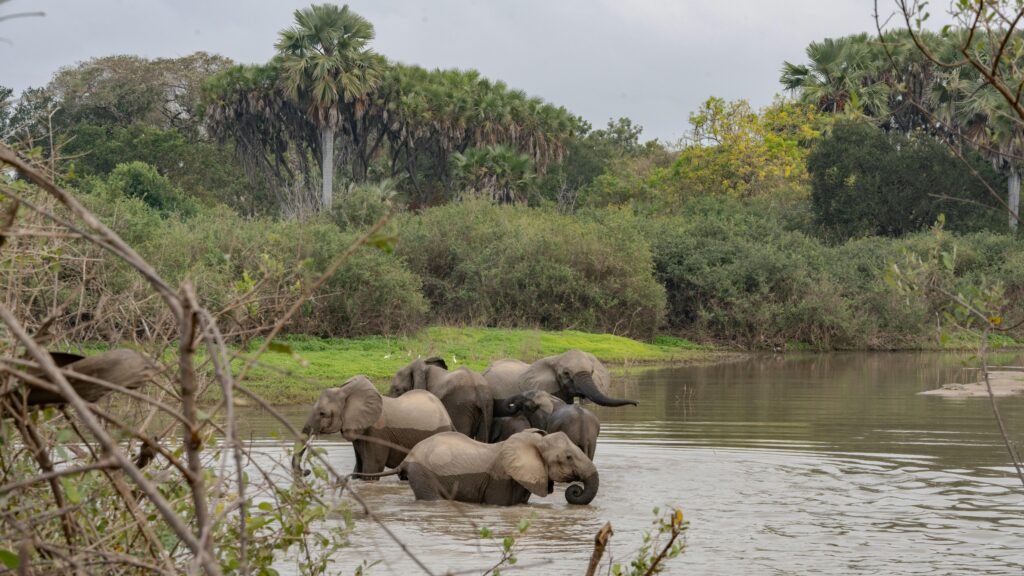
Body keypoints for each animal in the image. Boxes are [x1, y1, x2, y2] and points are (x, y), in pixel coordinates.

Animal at [295, 375, 452, 478]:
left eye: (322, 413)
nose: (306, 471)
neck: (347, 392)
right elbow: (359, 466)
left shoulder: (377, 432)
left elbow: (371, 468)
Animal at [384, 429, 599, 505]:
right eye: (568, 457)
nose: (575, 491)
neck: (536, 441)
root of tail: (406, 459)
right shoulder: (500, 478)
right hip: (422, 474)